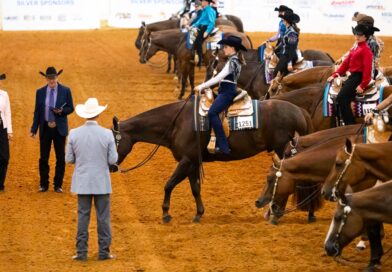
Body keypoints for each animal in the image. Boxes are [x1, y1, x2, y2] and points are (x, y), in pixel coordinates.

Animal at [110, 98, 312, 223]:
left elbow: (168, 185)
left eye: (112, 140)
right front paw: (199, 214)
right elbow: (195, 189)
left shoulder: (186, 161)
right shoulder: (192, 163)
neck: (178, 123)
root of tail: (301, 111)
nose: (111, 167)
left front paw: (166, 214)